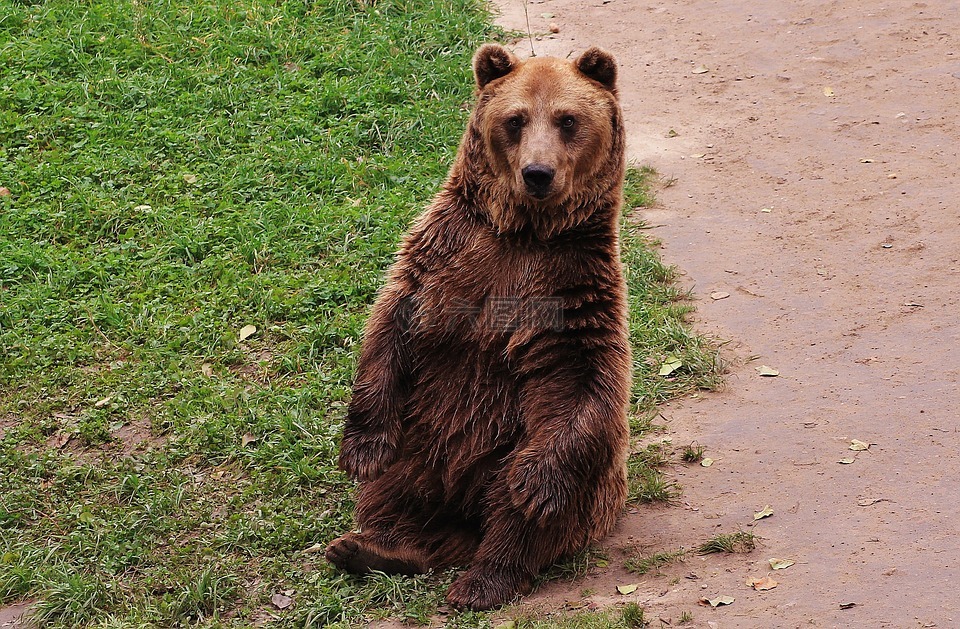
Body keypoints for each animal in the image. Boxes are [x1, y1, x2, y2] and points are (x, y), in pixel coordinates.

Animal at [326, 43, 632, 608]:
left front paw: (535, 485)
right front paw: (360, 449)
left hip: (519, 453)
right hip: (420, 440)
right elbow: (390, 325)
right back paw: (372, 547)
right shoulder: (445, 255)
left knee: (519, 513)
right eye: (515, 119)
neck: (524, 232)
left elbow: (588, 383)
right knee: (394, 494)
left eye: (568, 119)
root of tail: (463, 510)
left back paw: (483, 579)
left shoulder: (574, 293)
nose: (538, 172)